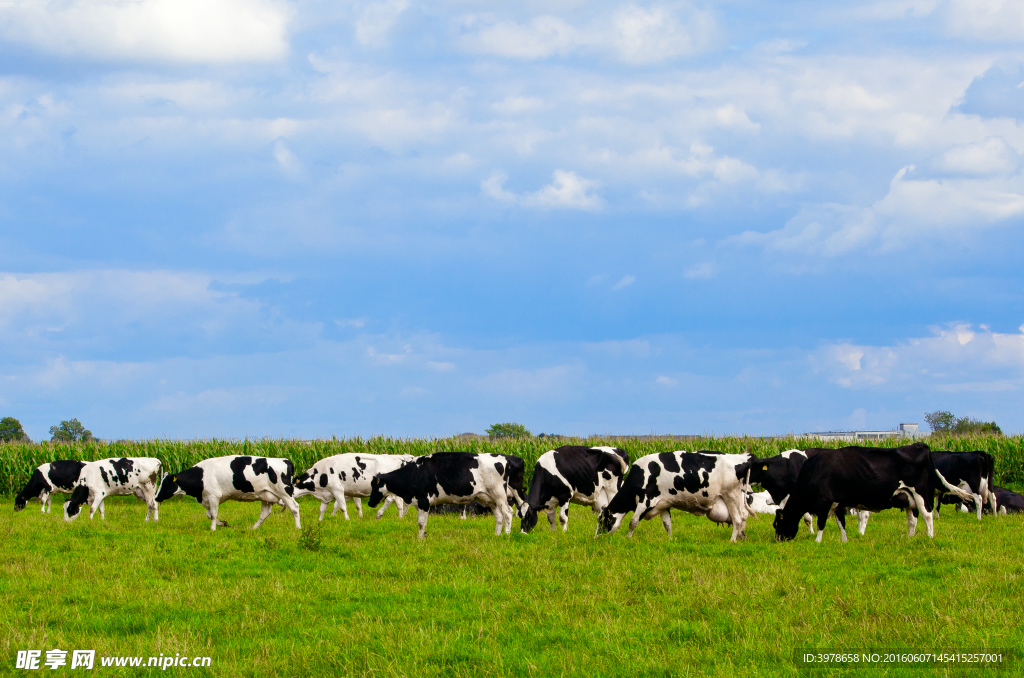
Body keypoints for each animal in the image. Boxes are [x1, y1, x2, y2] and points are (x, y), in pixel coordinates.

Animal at [154, 456, 299, 532]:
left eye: (165, 484)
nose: (156, 497)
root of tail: (286, 460)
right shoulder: (211, 498)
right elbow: (208, 514)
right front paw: (223, 523)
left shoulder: (213, 496)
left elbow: (212, 514)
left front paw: (213, 528)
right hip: (266, 496)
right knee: (264, 514)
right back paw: (253, 528)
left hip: (284, 493)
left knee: (294, 508)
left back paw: (298, 528)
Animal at [366, 454, 524, 540]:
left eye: (375, 486)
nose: (370, 503)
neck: (415, 473)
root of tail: (505, 459)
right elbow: (421, 521)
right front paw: (423, 536)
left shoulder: (424, 501)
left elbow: (421, 522)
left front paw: (420, 539)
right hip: (490, 499)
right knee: (499, 517)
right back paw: (497, 534)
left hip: (499, 494)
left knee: (508, 513)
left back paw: (506, 534)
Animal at [593, 454, 753, 544]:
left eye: (602, 521)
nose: (597, 538)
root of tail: (743, 460)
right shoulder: (663, 504)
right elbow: (667, 524)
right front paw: (670, 540)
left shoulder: (645, 501)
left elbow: (633, 522)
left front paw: (628, 538)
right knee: (743, 517)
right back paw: (742, 537)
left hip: (731, 496)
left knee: (738, 519)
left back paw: (732, 540)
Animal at [770, 444, 970, 544]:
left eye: (777, 524)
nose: (777, 540)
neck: (814, 471)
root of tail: (920, 446)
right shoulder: (838, 503)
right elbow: (841, 523)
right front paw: (844, 541)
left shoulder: (824, 502)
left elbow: (821, 523)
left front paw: (818, 541)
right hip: (908, 498)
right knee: (912, 519)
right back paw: (909, 537)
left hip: (920, 493)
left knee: (928, 515)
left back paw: (929, 537)